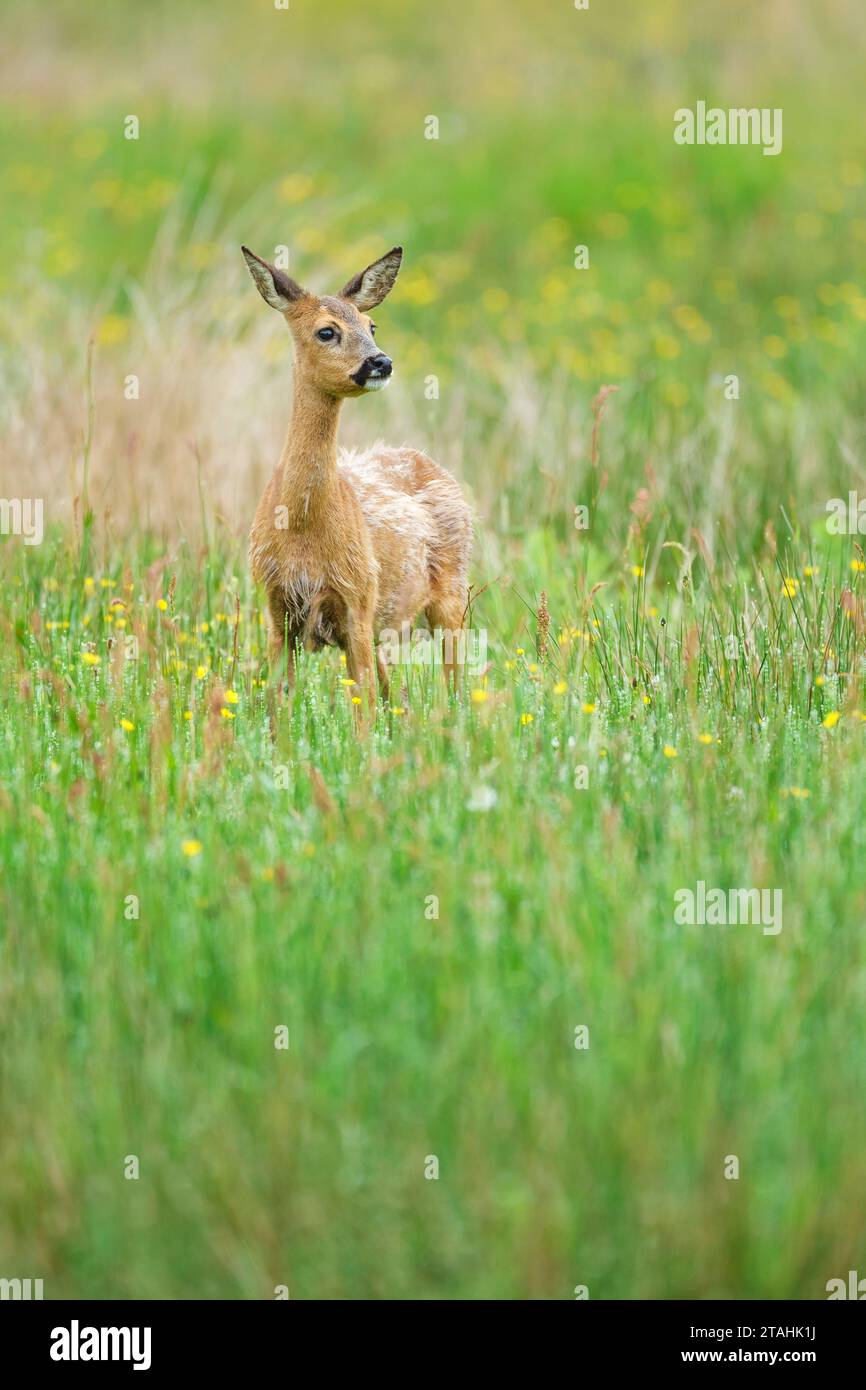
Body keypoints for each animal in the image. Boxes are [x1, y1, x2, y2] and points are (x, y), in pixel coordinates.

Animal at [244, 237, 469, 706]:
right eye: (327, 331)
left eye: (372, 325)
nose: (380, 362)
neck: (302, 527)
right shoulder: (275, 609)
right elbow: (276, 704)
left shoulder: (357, 601)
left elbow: (361, 709)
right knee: (392, 692)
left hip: (452, 590)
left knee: (458, 681)